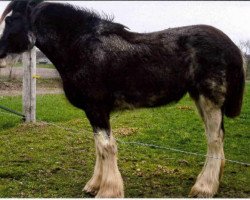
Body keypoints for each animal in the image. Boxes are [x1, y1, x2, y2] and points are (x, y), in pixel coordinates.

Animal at [0, 0, 246, 197]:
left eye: (10, 20)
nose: (0, 54)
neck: (81, 47)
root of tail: (232, 46)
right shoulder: (94, 112)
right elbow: (99, 147)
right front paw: (94, 185)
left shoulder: (97, 108)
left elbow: (107, 147)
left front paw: (108, 191)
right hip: (199, 98)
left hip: (209, 99)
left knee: (214, 140)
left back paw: (204, 188)